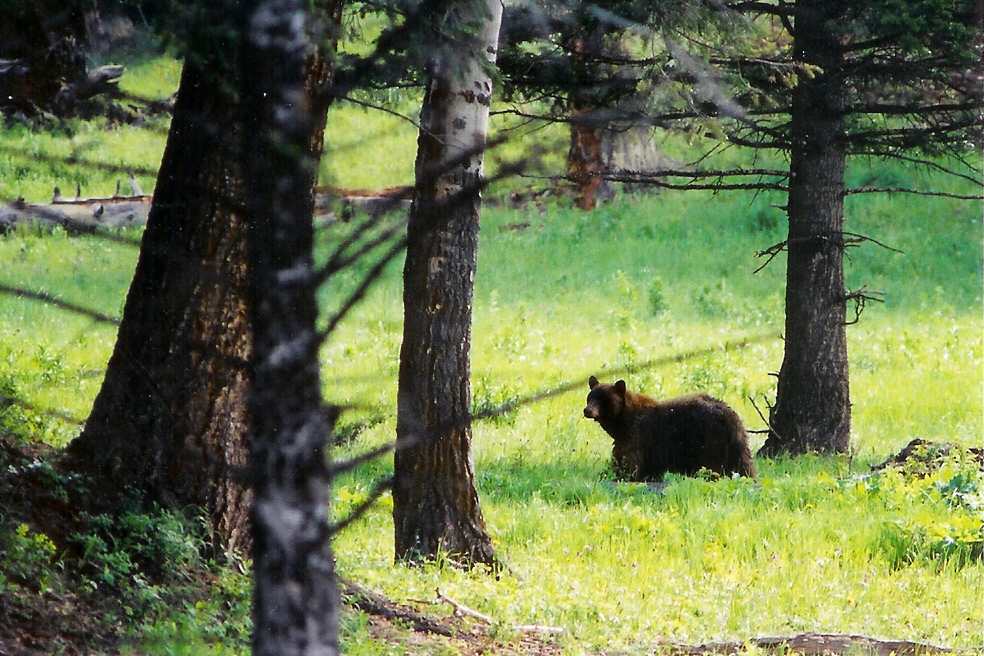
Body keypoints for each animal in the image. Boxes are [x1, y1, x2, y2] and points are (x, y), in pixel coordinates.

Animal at [584, 374, 752, 482]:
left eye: (603, 399)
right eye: (590, 397)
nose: (587, 410)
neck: (622, 423)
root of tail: (731, 416)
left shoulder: (637, 437)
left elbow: (629, 464)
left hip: (710, 441)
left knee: (714, 467)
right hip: (737, 444)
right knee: (745, 466)